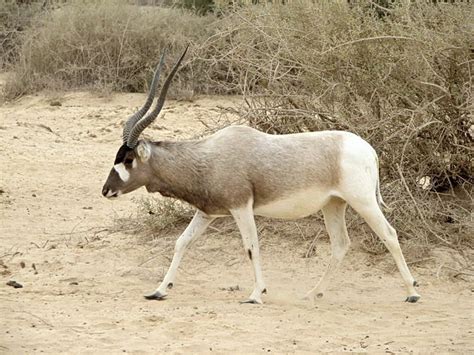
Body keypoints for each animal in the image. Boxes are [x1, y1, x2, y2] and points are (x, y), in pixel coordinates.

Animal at [102, 48, 420, 306]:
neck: (208, 155)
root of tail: (369, 149)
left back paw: (412, 292)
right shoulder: (208, 213)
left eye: (128, 159)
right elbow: (182, 241)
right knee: (341, 245)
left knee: (389, 234)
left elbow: (251, 247)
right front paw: (159, 290)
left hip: (363, 201)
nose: (106, 190)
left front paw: (256, 294)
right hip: (334, 205)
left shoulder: (241, 207)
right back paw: (313, 294)